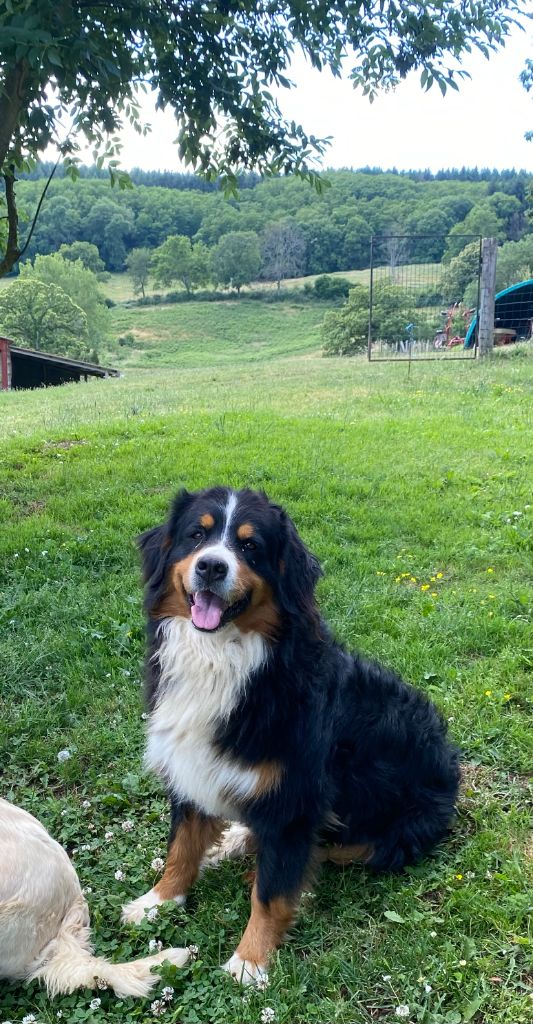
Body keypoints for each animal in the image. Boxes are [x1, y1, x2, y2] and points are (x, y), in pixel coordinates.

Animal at [122, 487, 460, 984]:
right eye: (196, 535)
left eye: (250, 547)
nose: (211, 567)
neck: (221, 658)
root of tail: (452, 761)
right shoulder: (191, 768)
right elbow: (181, 848)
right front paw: (158, 902)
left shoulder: (296, 799)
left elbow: (272, 892)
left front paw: (249, 962)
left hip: (391, 830)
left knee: (328, 852)